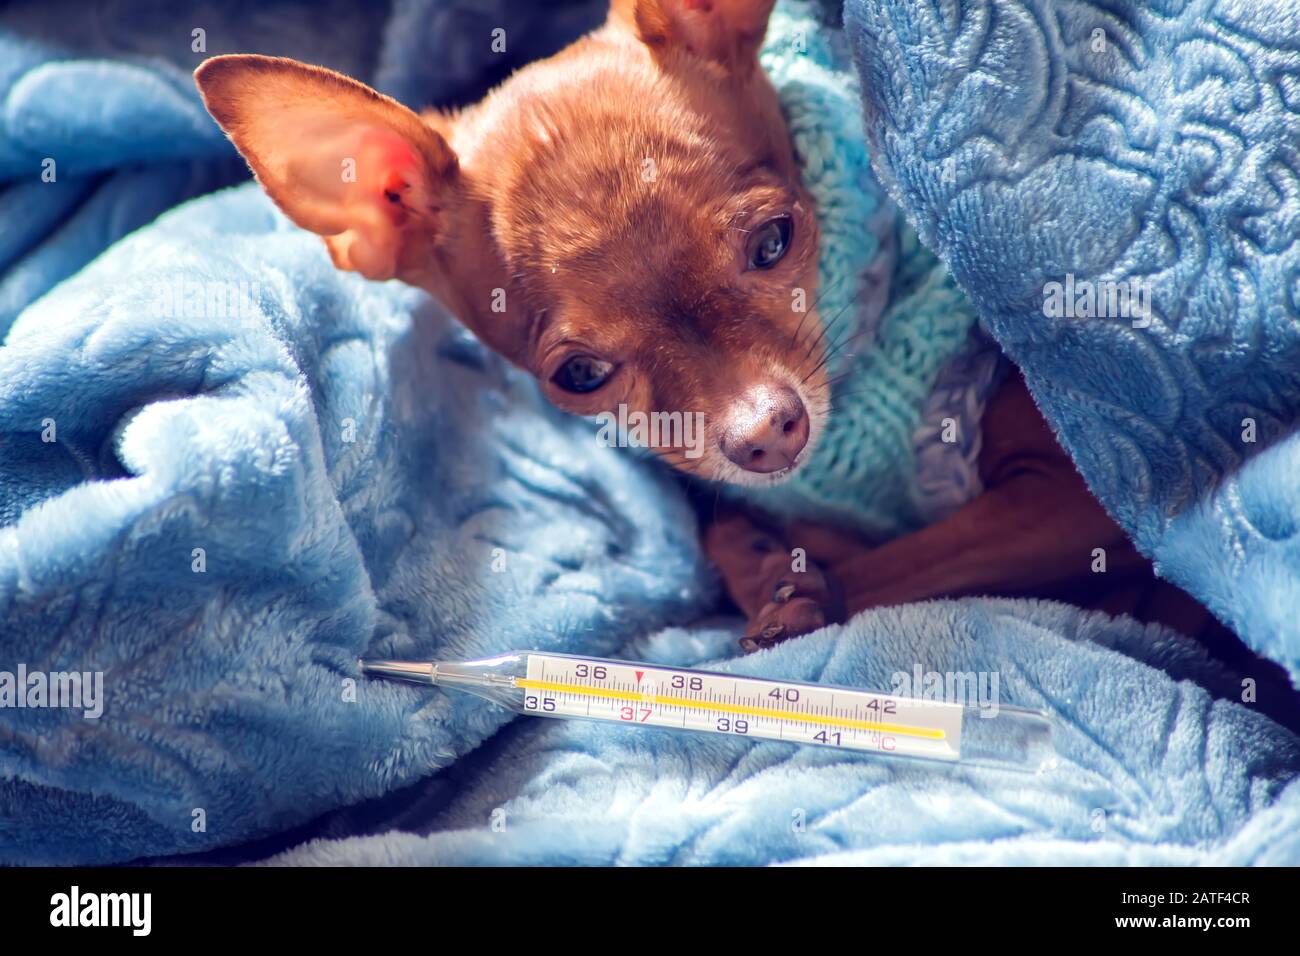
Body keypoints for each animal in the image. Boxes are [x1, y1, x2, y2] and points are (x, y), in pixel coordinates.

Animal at [192, 0, 1216, 650]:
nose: (766, 433)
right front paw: (767, 560)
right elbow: (726, 527)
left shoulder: (1078, 500)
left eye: (774, 243)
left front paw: (797, 592)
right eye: (579, 376)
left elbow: (882, 572)